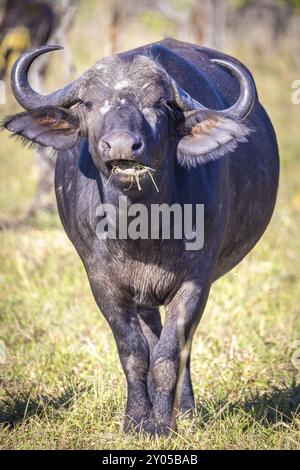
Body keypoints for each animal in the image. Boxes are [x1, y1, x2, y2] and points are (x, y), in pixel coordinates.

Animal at [3, 38, 278, 436]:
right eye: (89, 103)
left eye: (159, 103)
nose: (121, 147)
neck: (143, 231)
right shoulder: (103, 283)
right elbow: (134, 352)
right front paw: (135, 420)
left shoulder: (196, 282)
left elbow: (168, 354)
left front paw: (163, 423)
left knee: (180, 347)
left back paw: (185, 412)